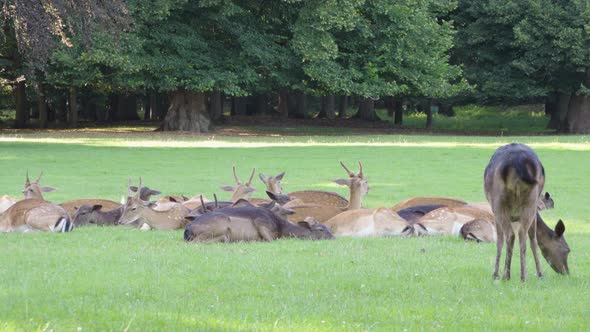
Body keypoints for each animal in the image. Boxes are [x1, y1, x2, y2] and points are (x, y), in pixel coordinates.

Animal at [183, 204, 336, 243]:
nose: (334, 237)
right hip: (221, 221)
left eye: (328, 227)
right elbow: (271, 240)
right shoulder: (261, 221)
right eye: (321, 229)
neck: (281, 228)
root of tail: (187, 230)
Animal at [486, 143, 560, 280]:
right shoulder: (534, 211)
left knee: (510, 234)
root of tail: (519, 161)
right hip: (530, 201)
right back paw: (523, 275)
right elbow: (533, 239)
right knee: (523, 234)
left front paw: (495, 274)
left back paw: (506, 275)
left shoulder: (495, 213)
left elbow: (499, 240)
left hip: (499, 203)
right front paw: (540, 273)